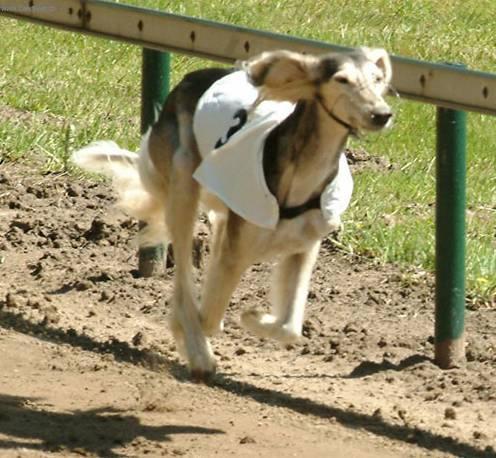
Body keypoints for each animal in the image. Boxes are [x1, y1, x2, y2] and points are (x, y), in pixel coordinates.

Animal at [71, 46, 394, 380]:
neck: (302, 175)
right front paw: (211, 332)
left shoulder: (304, 245)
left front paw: (254, 318)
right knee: (185, 282)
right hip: (183, 179)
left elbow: (290, 328)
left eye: (378, 79)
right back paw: (200, 353)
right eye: (342, 79)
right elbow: (207, 315)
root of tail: (187, 80)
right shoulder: (238, 246)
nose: (382, 114)